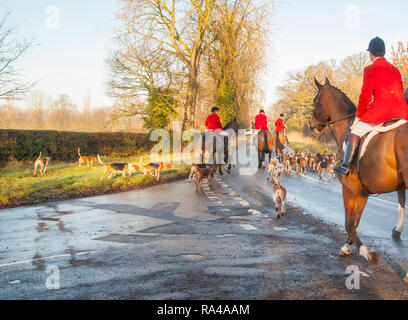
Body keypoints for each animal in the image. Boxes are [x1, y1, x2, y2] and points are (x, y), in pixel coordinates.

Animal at [310, 77, 408, 268]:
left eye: (315, 101)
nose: (311, 125)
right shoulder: (362, 191)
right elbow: (355, 222)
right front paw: (347, 247)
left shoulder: (349, 188)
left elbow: (349, 223)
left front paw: (367, 253)